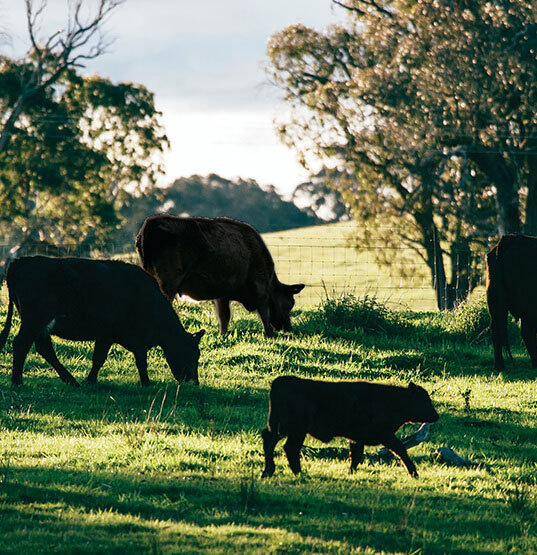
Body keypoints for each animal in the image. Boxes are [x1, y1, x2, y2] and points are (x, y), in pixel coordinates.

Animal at [0, 256, 205, 386]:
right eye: (193, 353)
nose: (194, 382)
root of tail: (19, 262)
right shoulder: (126, 336)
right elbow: (137, 359)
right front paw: (146, 383)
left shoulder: (108, 335)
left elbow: (99, 358)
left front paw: (90, 380)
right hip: (34, 319)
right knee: (21, 344)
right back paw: (17, 381)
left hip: (40, 324)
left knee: (44, 348)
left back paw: (70, 380)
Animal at [134, 215, 304, 336]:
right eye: (290, 303)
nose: (288, 328)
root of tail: (150, 222)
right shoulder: (260, 287)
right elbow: (264, 313)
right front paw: (269, 334)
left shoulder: (222, 295)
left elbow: (224, 316)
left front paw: (223, 336)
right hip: (167, 284)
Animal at [262, 376, 438, 480]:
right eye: (424, 400)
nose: (436, 416)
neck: (394, 401)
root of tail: (280, 381)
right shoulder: (385, 435)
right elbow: (400, 450)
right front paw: (414, 473)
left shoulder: (357, 438)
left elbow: (356, 456)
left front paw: (350, 472)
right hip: (296, 430)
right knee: (289, 448)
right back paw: (298, 473)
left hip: (282, 428)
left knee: (269, 440)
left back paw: (269, 471)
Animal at [488, 232, 537, 372]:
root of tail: (512, 238)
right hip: (529, 307)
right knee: (527, 333)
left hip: (496, 303)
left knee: (496, 330)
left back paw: (499, 366)